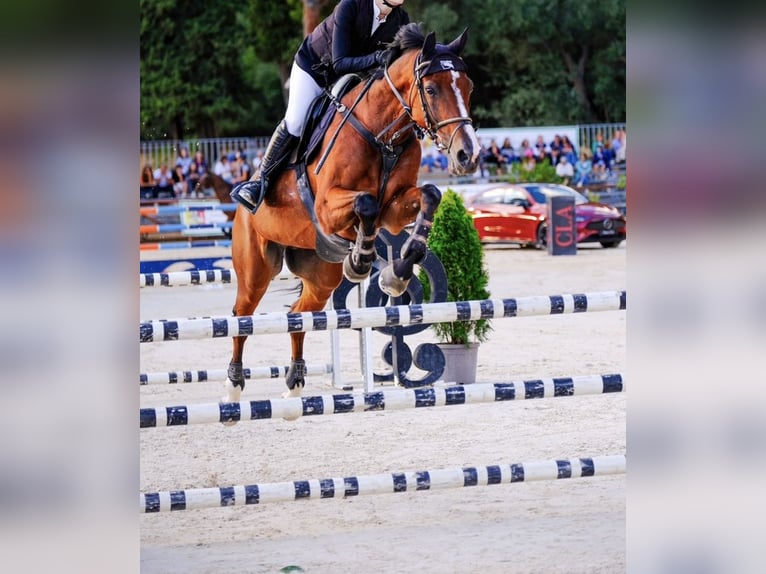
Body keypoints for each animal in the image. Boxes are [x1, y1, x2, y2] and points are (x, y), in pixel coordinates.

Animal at [224, 23, 480, 403]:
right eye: (431, 89)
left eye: (468, 87)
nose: (468, 155)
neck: (381, 134)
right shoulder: (328, 207)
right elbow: (365, 204)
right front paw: (360, 260)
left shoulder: (395, 209)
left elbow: (429, 196)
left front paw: (398, 271)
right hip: (255, 268)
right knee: (242, 315)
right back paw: (234, 386)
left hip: (321, 276)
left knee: (299, 316)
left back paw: (295, 383)